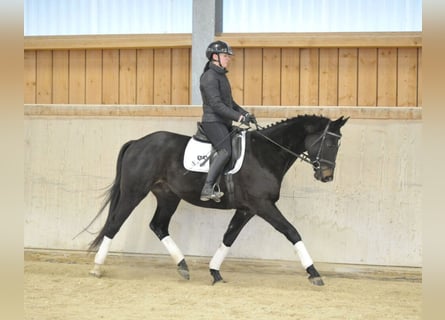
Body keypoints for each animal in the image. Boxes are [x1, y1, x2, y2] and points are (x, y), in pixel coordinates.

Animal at [86, 114, 346, 284]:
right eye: (329, 142)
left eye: (338, 144)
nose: (327, 176)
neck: (265, 154)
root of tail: (137, 143)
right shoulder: (263, 205)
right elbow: (291, 231)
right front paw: (314, 273)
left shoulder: (247, 209)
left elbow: (228, 237)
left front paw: (214, 272)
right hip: (134, 192)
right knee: (115, 224)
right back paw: (97, 268)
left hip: (168, 196)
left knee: (158, 225)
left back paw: (183, 266)